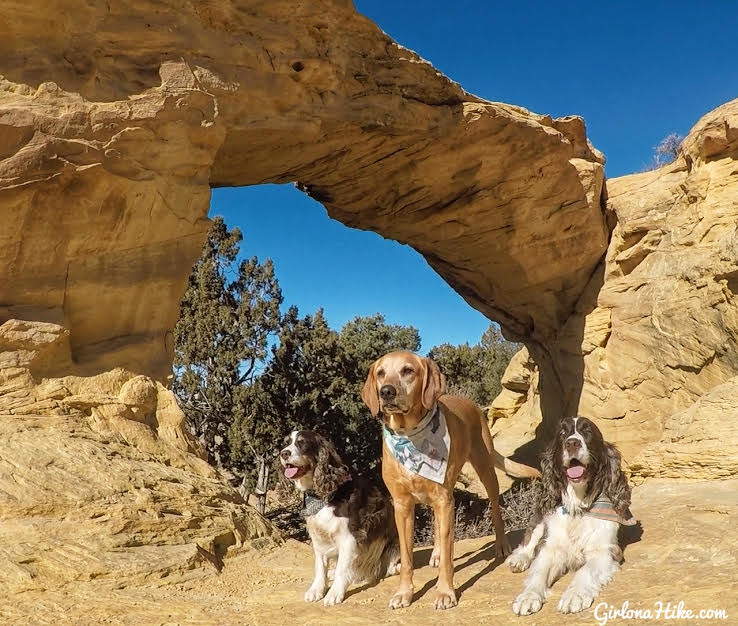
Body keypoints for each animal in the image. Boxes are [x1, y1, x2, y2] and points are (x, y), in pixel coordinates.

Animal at [360, 348, 536, 608]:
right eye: (381, 373)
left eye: (407, 370)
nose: (387, 392)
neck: (409, 436)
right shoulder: (402, 505)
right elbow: (407, 555)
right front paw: (404, 592)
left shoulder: (444, 500)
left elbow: (447, 554)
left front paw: (445, 592)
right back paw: (436, 553)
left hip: (485, 470)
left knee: (495, 508)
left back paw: (501, 545)